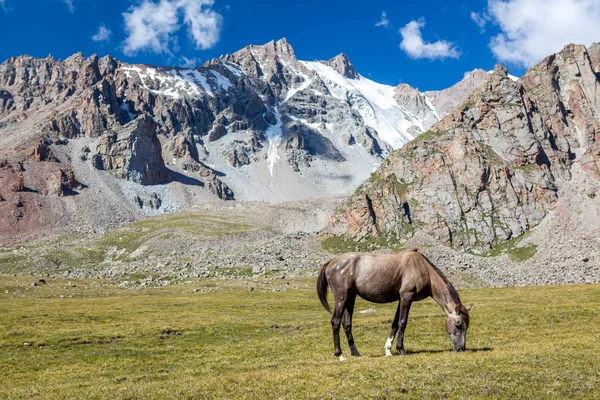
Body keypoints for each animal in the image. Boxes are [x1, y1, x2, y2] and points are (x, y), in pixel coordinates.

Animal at [316, 248, 472, 360]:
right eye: (458, 324)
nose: (461, 348)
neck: (423, 270)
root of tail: (330, 262)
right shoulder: (407, 297)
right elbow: (403, 322)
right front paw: (401, 349)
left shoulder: (400, 299)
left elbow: (395, 323)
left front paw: (388, 350)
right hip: (341, 298)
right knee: (335, 322)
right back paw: (340, 355)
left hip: (350, 297)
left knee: (347, 323)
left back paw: (356, 353)